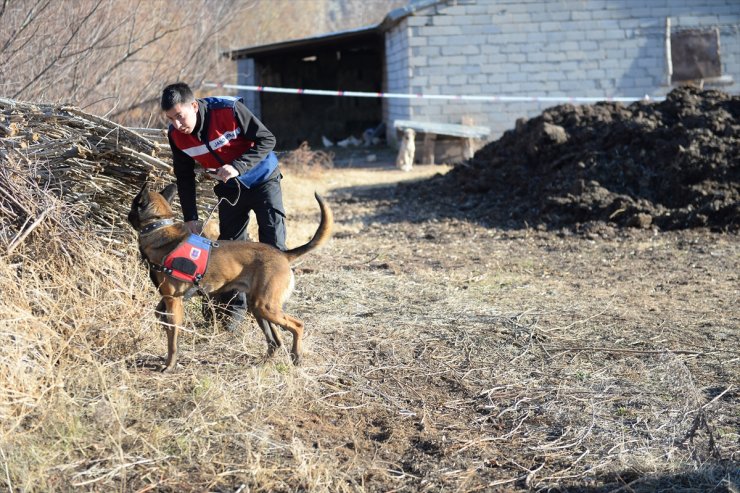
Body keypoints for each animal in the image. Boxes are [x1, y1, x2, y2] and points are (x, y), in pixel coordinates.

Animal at [129, 183, 334, 370]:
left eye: (133, 204)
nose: (128, 216)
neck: (158, 228)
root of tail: (283, 254)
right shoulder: (168, 300)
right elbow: (161, 317)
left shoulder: (173, 300)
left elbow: (172, 340)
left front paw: (169, 365)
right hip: (259, 307)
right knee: (275, 340)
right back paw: (264, 363)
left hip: (265, 306)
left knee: (298, 325)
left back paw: (296, 356)